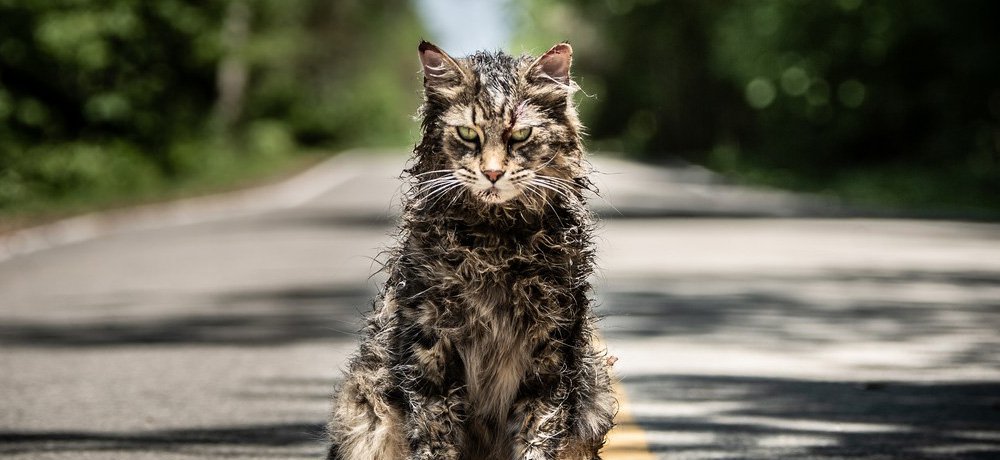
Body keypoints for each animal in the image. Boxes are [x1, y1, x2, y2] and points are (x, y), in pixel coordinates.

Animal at [324, 41, 616, 458]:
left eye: (520, 135)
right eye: (467, 133)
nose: (492, 173)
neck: (496, 243)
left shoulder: (552, 346)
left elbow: (539, 430)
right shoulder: (430, 342)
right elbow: (436, 431)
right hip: (363, 407)